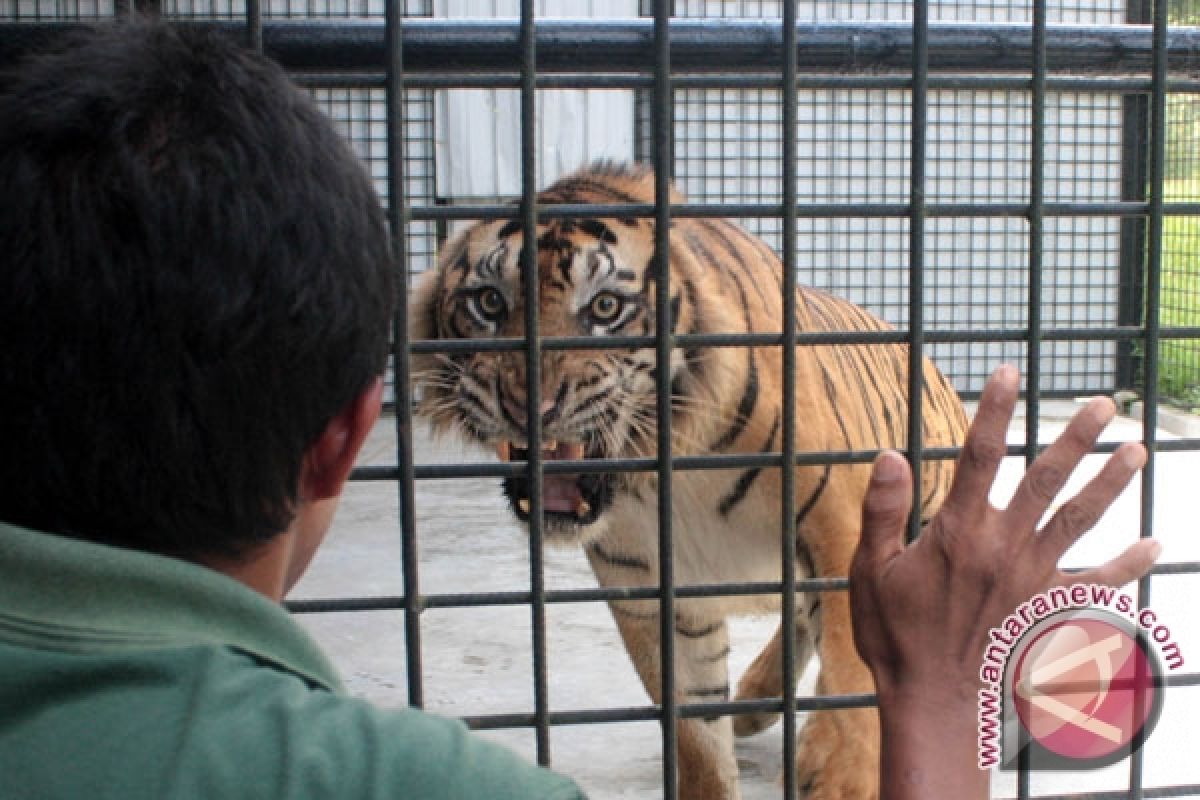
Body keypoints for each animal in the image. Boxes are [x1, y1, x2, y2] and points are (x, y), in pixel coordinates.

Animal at [408, 159, 969, 796]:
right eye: (489, 302)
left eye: (605, 308)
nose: (530, 407)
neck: (669, 474)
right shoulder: (653, 591)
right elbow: (696, 727)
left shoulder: (837, 527)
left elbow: (855, 662)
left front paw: (843, 773)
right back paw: (755, 702)